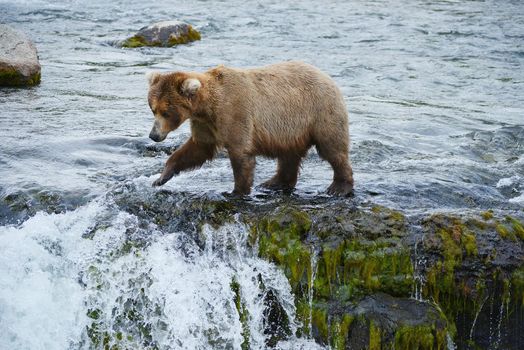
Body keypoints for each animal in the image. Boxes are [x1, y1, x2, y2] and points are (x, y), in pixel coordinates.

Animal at [145, 61, 354, 196]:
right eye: (153, 108)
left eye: (165, 112)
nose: (154, 135)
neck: (207, 107)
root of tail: (326, 76)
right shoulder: (205, 124)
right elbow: (197, 148)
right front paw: (161, 177)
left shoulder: (235, 112)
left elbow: (240, 154)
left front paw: (236, 191)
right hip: (290, 129)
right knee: (288, 155)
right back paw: (274, 183)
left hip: (320, 111)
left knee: (332, 148)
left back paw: (339, 187)